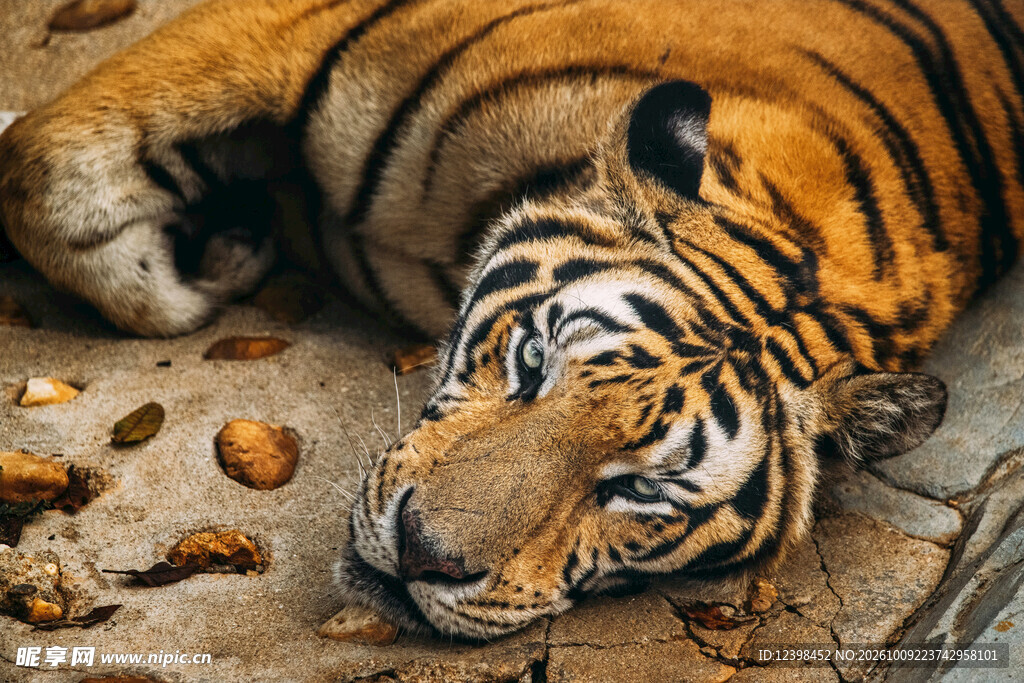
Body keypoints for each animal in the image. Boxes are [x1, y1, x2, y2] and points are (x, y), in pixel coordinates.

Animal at [1, 0, 1022, 641]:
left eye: (639, 490)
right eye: (530, 359)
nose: (424, 553)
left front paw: (225, 248)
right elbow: (46, 169)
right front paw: (206, 273)